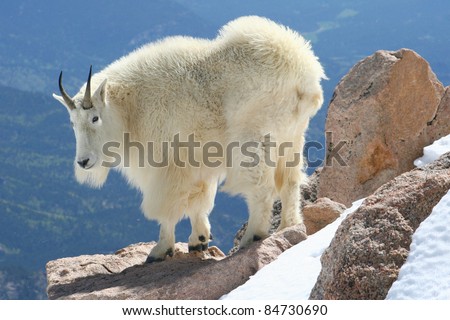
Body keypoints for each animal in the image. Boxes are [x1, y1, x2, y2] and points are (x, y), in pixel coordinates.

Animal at [52, 15, 326, 262]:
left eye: (95, 118)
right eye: (72, 123)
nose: (83, 162)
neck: (131, 107)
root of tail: (304, 76)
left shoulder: (169, 164)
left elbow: (169, 206)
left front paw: (160, 250)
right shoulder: (198, 162)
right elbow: (198, 201)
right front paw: (199, 241)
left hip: (254, 136)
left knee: (262, 186)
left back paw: (253, 236)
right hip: (292, 135)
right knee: (290, 180)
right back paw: (287, 227)